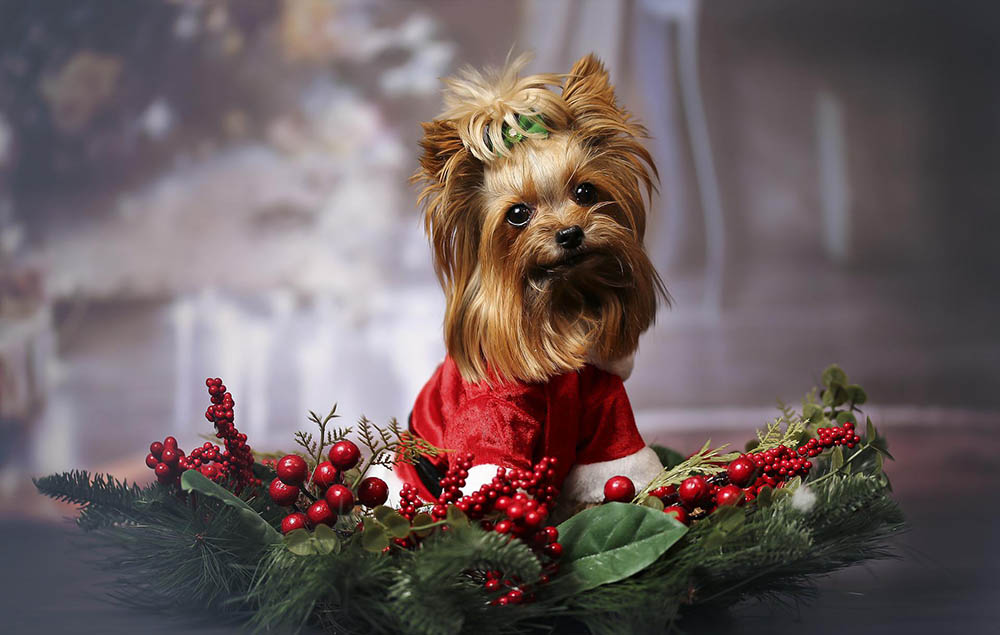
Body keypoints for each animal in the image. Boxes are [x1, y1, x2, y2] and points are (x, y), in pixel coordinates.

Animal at [392, 52, 672, 510]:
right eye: (518, 214)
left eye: (585, 191)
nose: (570, 234)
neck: (558, 307)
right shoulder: (490, 415)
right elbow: (492, 466)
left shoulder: (608, 406)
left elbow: (614, 466)